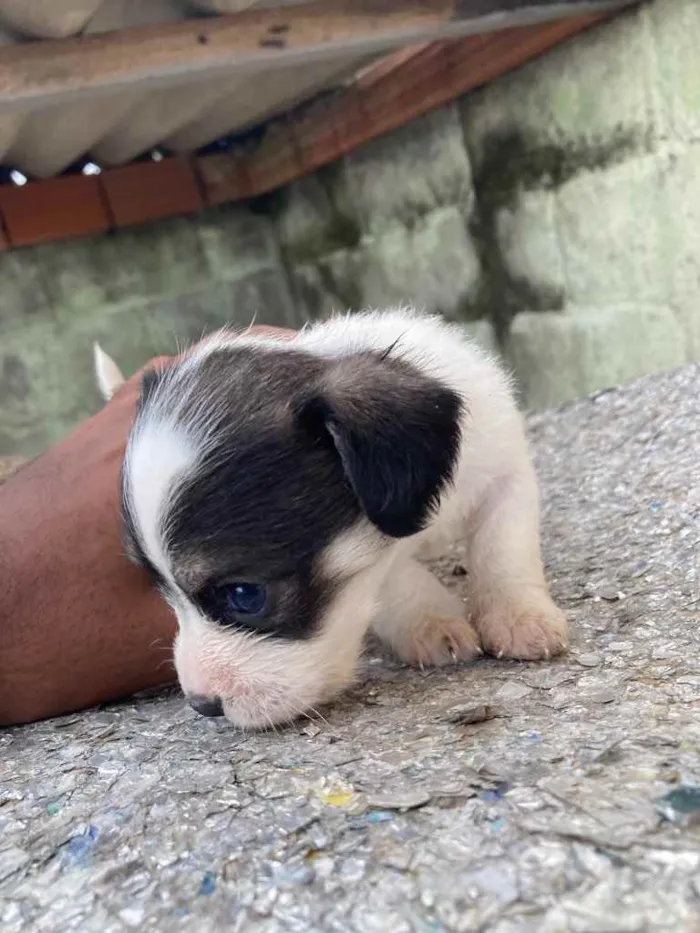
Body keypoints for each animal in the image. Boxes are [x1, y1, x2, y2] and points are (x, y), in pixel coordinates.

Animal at [97, 308, 568, 728]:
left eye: (245, 594)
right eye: (163, 593)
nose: (202, 705)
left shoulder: (504, 473)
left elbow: (504, 551)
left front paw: (520, 617)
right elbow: (397, 581)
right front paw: (432, 623)